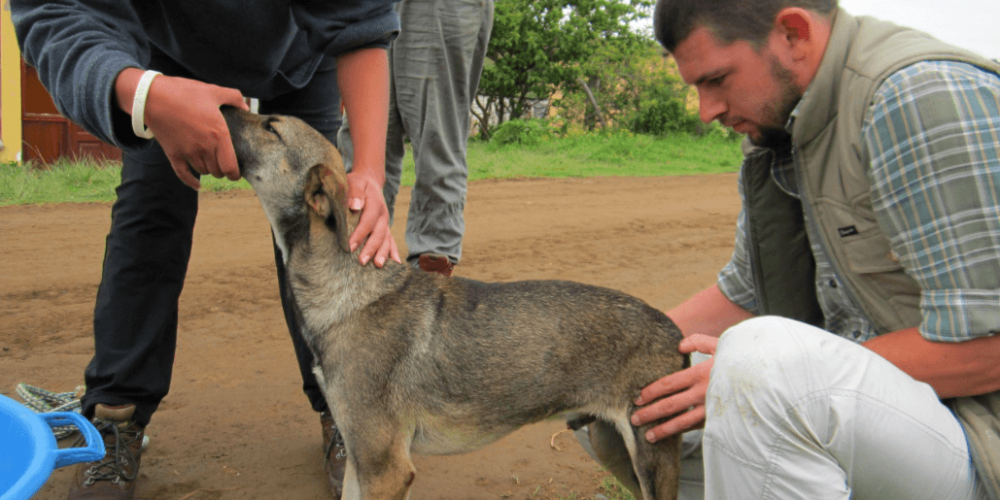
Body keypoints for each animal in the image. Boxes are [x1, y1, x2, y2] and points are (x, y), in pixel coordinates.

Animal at [220, 107, 688, 500]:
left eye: (271, 127)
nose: (223, 105)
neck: (351, 292)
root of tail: (677, 333)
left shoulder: (385, 469)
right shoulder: (360, 459)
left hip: (649, 455)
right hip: (610, 446)